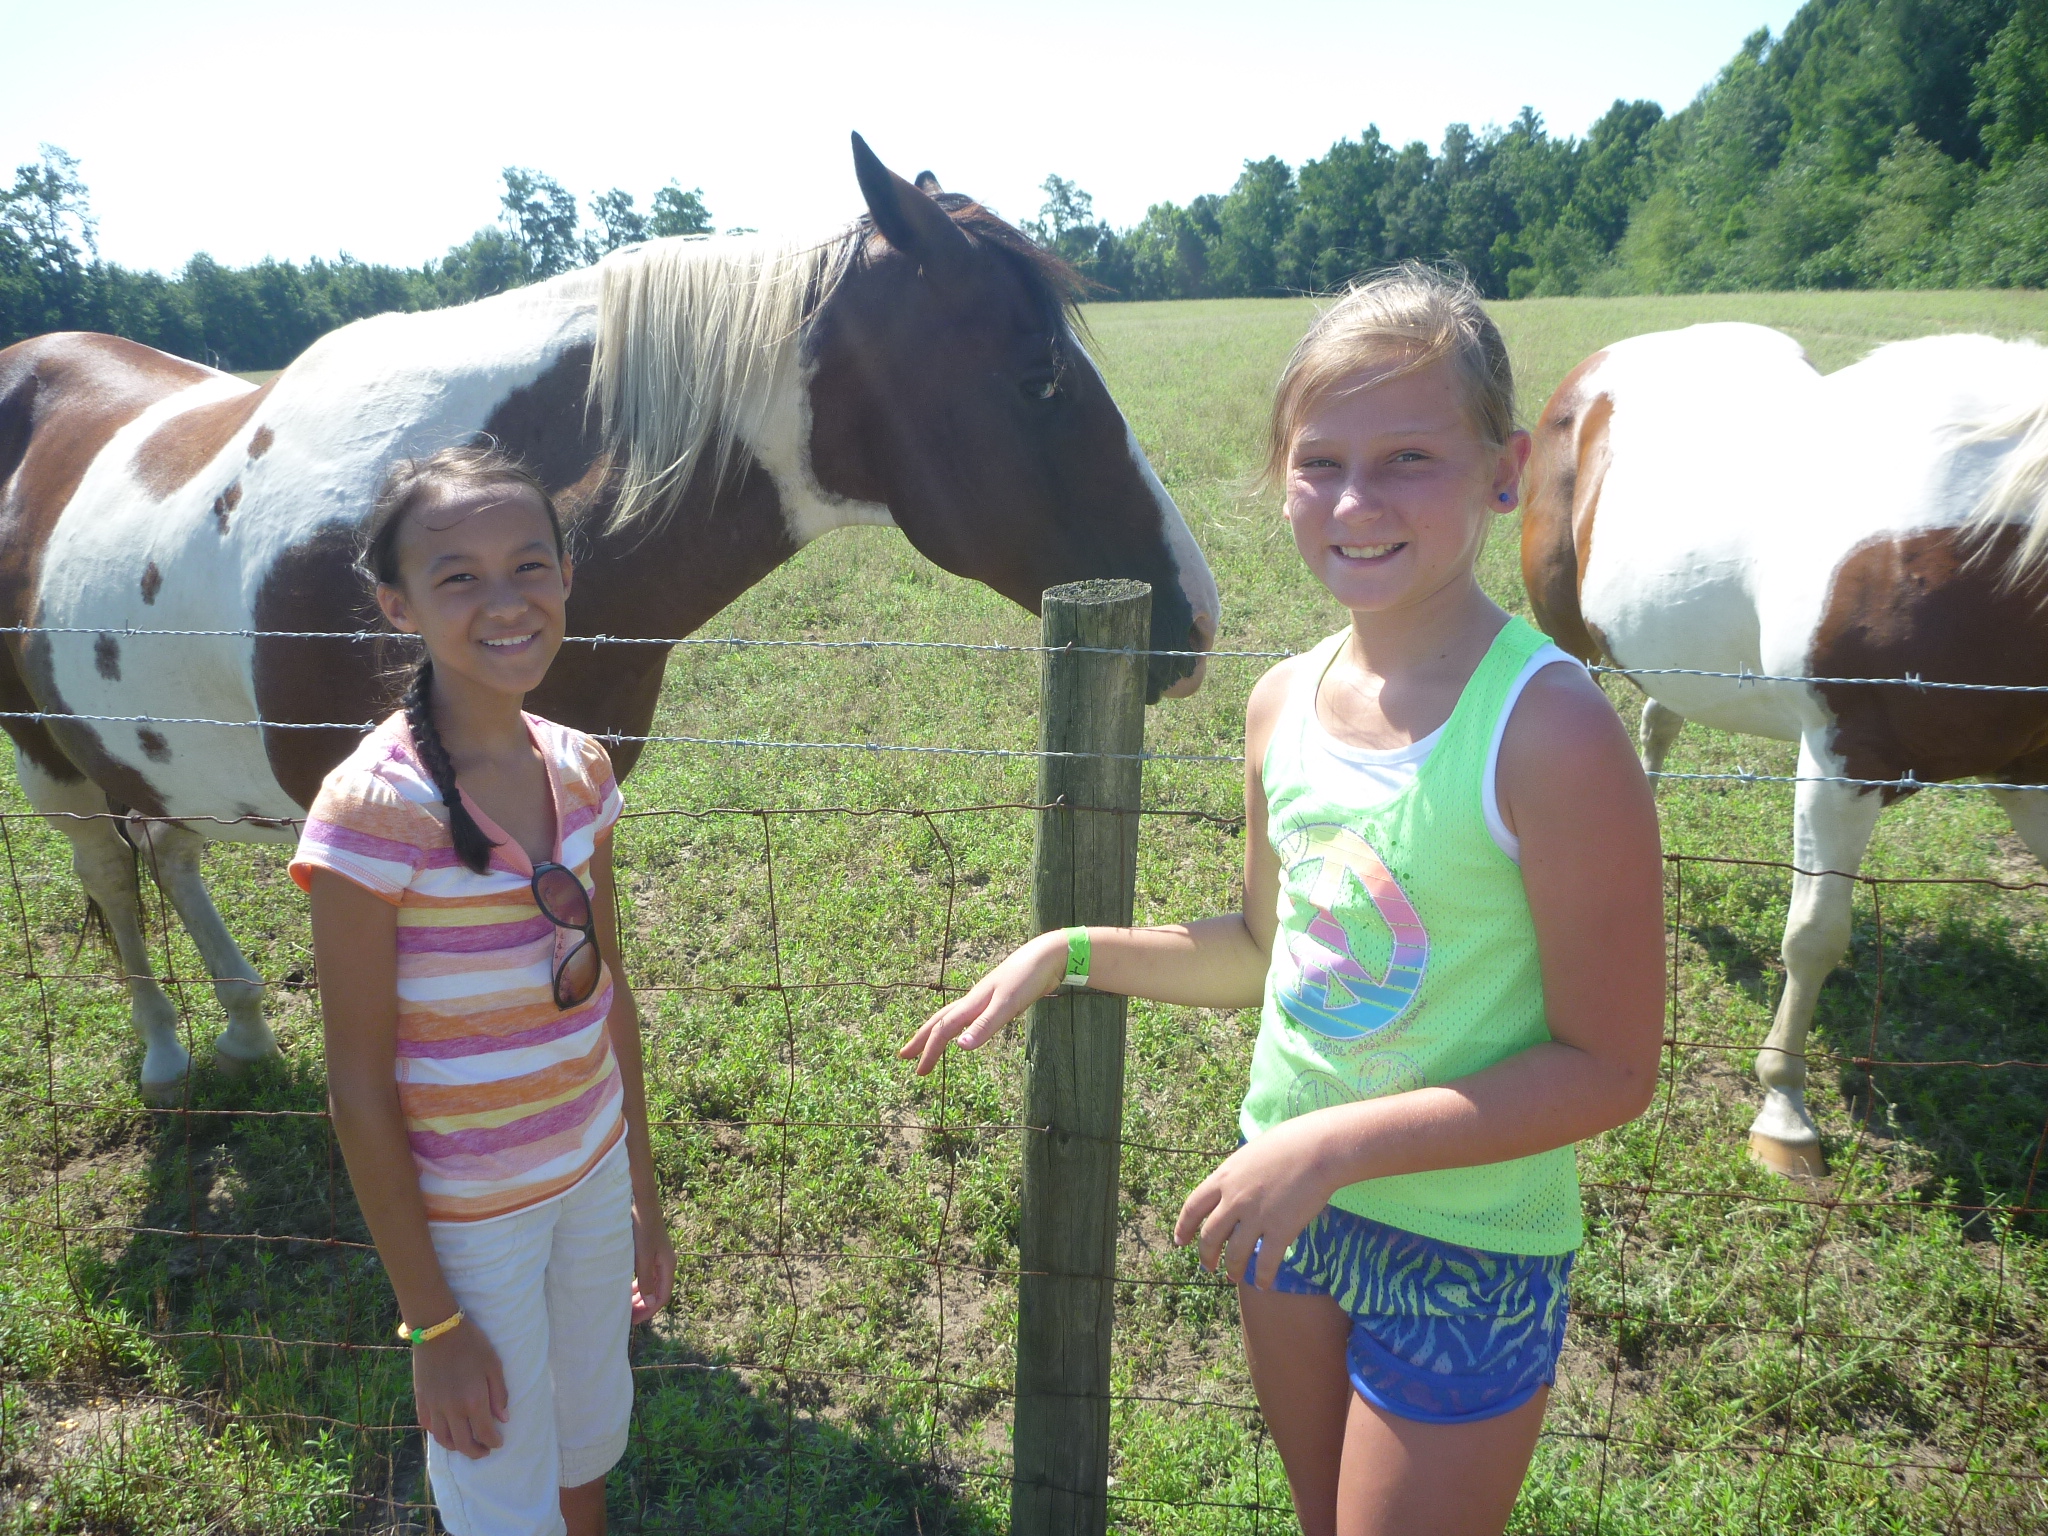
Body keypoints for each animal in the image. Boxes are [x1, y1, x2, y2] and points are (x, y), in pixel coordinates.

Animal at [0, 135, 1220, 1106]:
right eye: (1040, 374)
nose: (1198, 614)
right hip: (50, 758)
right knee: (110, 873)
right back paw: (165, 1051)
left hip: (143, 755)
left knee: (169, 853)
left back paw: (246, 1024)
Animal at [1522, 321, 2048, 1176]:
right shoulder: (1842, 764)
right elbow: (1813, 936)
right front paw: (1784, 1113)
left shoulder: (2031, 775)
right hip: (1572, 638)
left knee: (1659, 721)